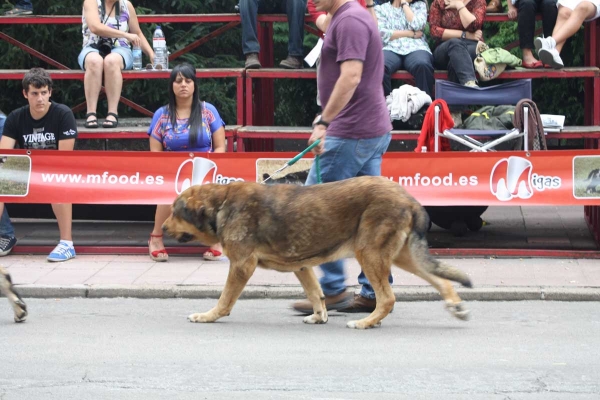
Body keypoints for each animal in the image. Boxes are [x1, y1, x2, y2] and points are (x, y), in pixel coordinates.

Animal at [163, 177, 474, 330]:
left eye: (176, 212)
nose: (163, 228)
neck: (221, 202)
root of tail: (409, 199)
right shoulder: (301, 266)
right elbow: (316, 293)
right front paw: (319, 316)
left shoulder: (241, 265)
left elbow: (225, 299)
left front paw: (208, 316)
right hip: (402, 256)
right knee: (441, 280)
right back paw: (456, 307)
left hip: (369, 253)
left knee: (387, 298)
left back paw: (366, 322)